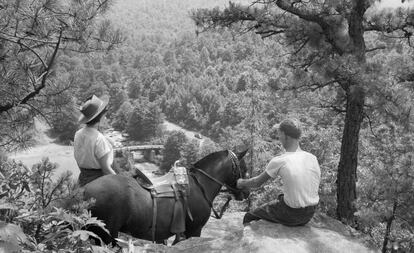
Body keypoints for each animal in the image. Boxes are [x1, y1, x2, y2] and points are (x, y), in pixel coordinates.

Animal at [82, 149, 247, 244]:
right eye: (244, 168)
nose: (245, 193)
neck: (200, 184)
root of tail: (85, 190)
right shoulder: (194, 231)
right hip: (105, 235)